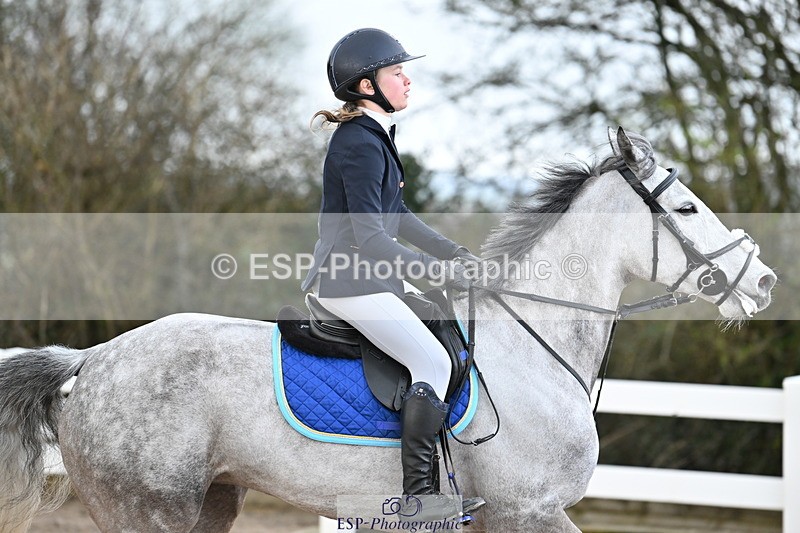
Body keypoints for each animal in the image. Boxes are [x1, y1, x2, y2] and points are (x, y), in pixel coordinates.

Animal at [0, 128, 776, 532]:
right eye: (687, 206)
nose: (763, 280)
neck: (531, 347)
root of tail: (92, 360)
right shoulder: (529, 511)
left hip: (210, 503)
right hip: (148, 509)